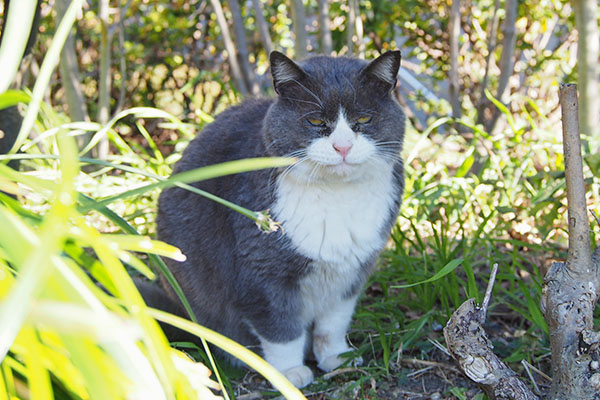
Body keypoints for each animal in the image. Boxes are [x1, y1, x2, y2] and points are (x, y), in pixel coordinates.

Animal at [152, 50, 406, 388]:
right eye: (315, 121)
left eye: (363, 120)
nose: (342, 147)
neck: (336, 196)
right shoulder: (263, 272)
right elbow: (281, 327)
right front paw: (288, 373)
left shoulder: (352, 270)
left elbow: (334, 322)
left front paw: (337, 358)